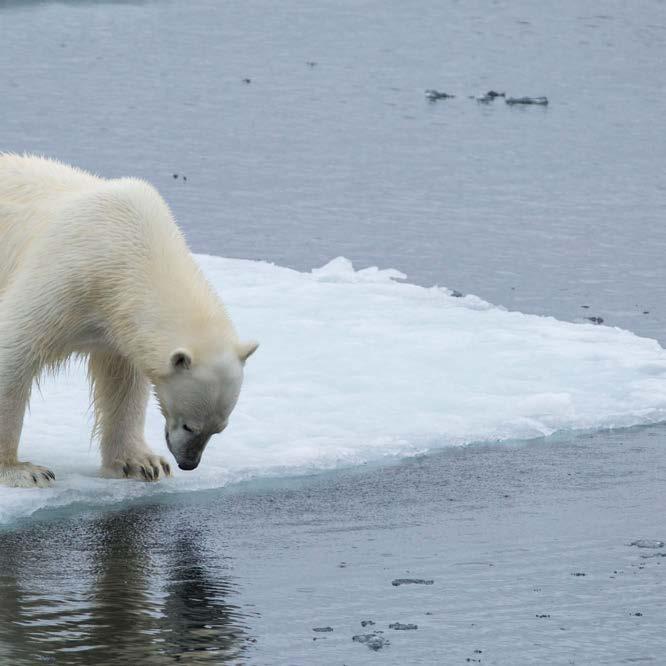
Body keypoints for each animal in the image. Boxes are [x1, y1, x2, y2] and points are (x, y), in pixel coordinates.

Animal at [0, 156, 256, 488]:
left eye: (219, 428)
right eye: (189, 426)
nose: (189, 463)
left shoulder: (114, 322)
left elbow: (123, 383)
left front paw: (142, 464)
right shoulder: (67, 276)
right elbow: (14, 348)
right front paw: (23, 470)